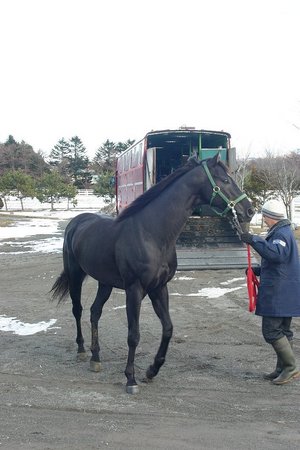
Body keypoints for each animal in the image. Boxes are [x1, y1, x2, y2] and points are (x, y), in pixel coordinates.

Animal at [51, 153, 253, 392]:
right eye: (225, 180)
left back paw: (96, 358)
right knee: (78, 310)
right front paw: (131, 379)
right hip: (75, 276)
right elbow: (133, 335)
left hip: (105, 283)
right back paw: (82, 351)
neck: (151, 234)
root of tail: (76, 222)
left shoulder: (159, 288)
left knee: (94, 312)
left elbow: (168, 328)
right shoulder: (134, 290)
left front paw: (151, 370)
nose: (249, 210)